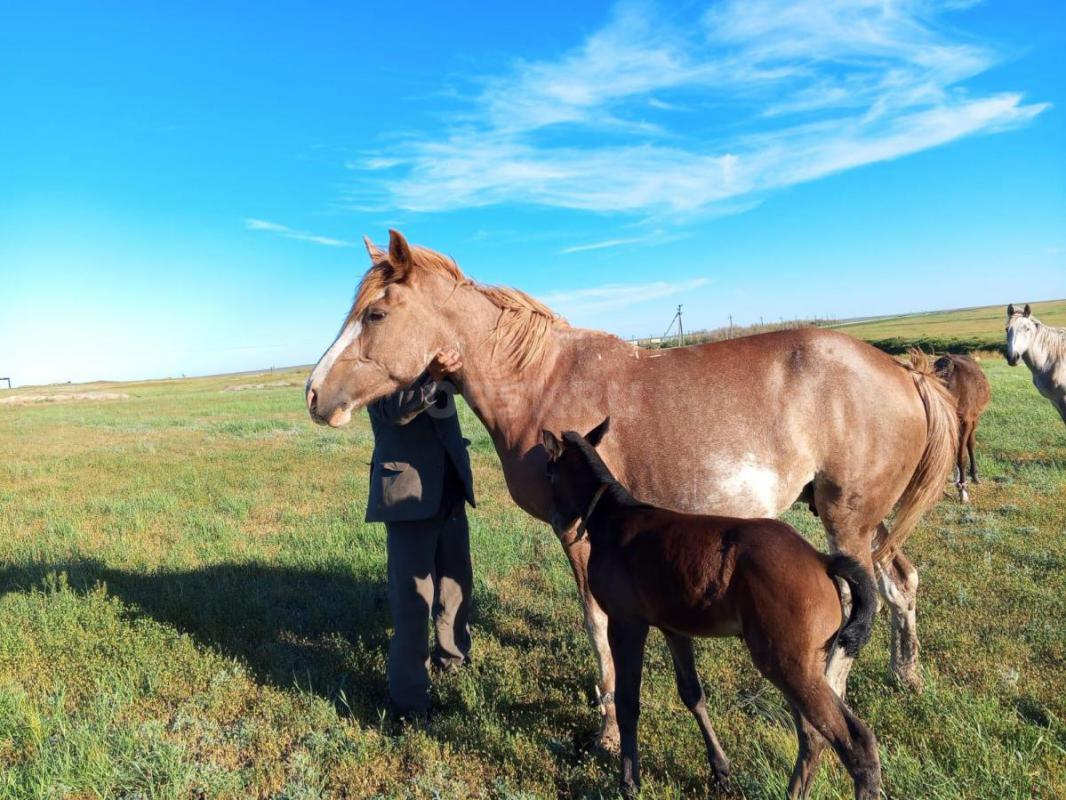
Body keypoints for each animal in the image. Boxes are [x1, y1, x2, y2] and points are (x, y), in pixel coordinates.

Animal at [307, 231, 959, 750]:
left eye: (375, 316)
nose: (314, 394)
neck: (539, 380)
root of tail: (904, 372)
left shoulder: (576, 533)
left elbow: (597, 623)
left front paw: (608, 728)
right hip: (863, 520)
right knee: (900, 585)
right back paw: (907, 676)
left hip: (846, 522)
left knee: (859, 609)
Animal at [541, 420, 882, 800]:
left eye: (549, 472)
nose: (556, 520)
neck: (614, 517)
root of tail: (821, 560)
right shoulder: (673, 628)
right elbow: (693, 694)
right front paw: (721, 770)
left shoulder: (626, 623)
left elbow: (629, 701)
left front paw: (628, 781)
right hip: (802, 664)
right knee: (812, 734)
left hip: (787, 663)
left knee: (853, 741)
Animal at [933, 356, 989, 503]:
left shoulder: (967, 421)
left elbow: (961, 455)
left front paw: (963, 490)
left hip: (974, 418)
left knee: (969, 444)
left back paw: (973, 476)